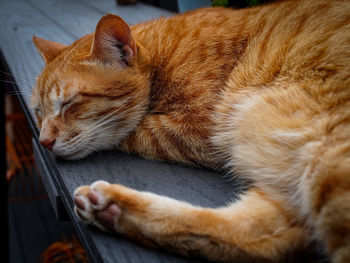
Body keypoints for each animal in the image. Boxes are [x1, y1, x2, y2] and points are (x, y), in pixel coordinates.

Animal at [30, 0, 350, 262]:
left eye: (69, 102)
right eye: (38, 112)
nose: (44, 141)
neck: (162, 57)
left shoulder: (196, 129)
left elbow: (132, 131)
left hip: (323, 153)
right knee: (260, 240)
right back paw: (112, 209)